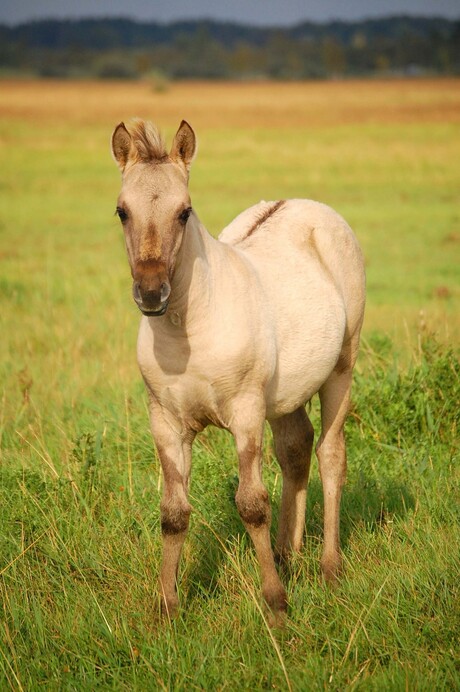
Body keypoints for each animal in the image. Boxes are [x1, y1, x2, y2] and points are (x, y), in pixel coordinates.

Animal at [112, 119, 366, 628]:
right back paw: (288, 555)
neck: (189, 330)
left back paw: (329, 569)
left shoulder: (246, 412)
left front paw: (276, 605)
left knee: (331, 456)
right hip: (285, 396)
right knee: (296, 449)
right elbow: (173, 512)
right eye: (122, 211)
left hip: (340, 371)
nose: (151, 293)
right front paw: (167, 608)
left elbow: (251, 505)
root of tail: (308, 206)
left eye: (184, 212)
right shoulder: (165, 421)